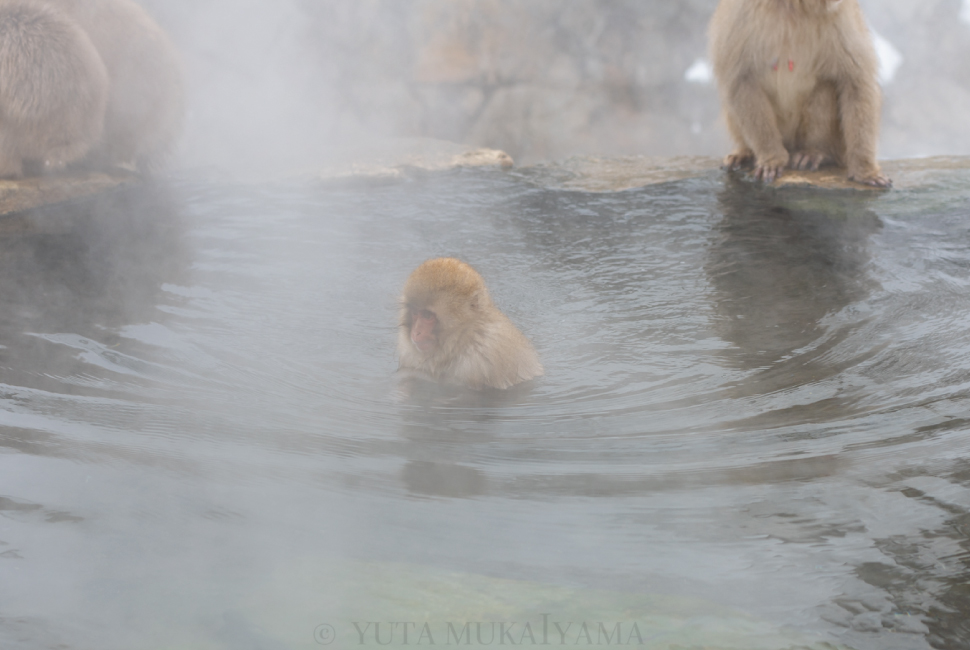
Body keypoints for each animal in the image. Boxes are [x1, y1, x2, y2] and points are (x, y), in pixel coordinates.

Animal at [708, 0, 888, 187]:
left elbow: (856, 82)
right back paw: (746, 153)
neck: (793, 6)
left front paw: (865, 171)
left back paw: (815, 152)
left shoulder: (842, 15)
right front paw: (772, 159)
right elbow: (740, 80)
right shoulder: (742, 14)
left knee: (825, 89)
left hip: (837, 146)